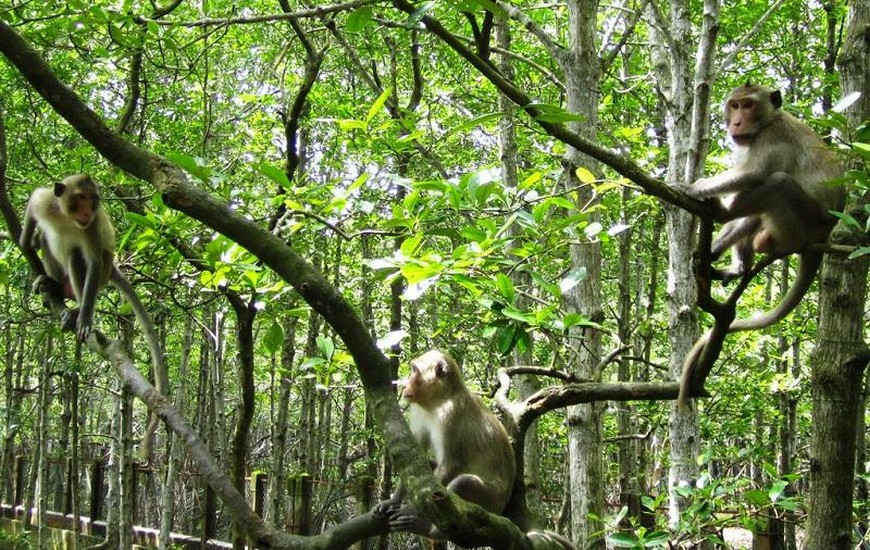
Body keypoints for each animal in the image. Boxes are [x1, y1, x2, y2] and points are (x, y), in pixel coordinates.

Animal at [676, 84, 848, 408]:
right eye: (734, 105)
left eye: (748, 106)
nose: (736, 123)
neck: (769, 120)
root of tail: (822, 238)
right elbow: (750, 183)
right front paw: (713, 252)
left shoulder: (774, 136)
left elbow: (753, 174)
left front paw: (694, 186)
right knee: (756, 210)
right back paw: (736, 265)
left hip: (801, 224)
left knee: (778, 182)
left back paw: (722, 213)